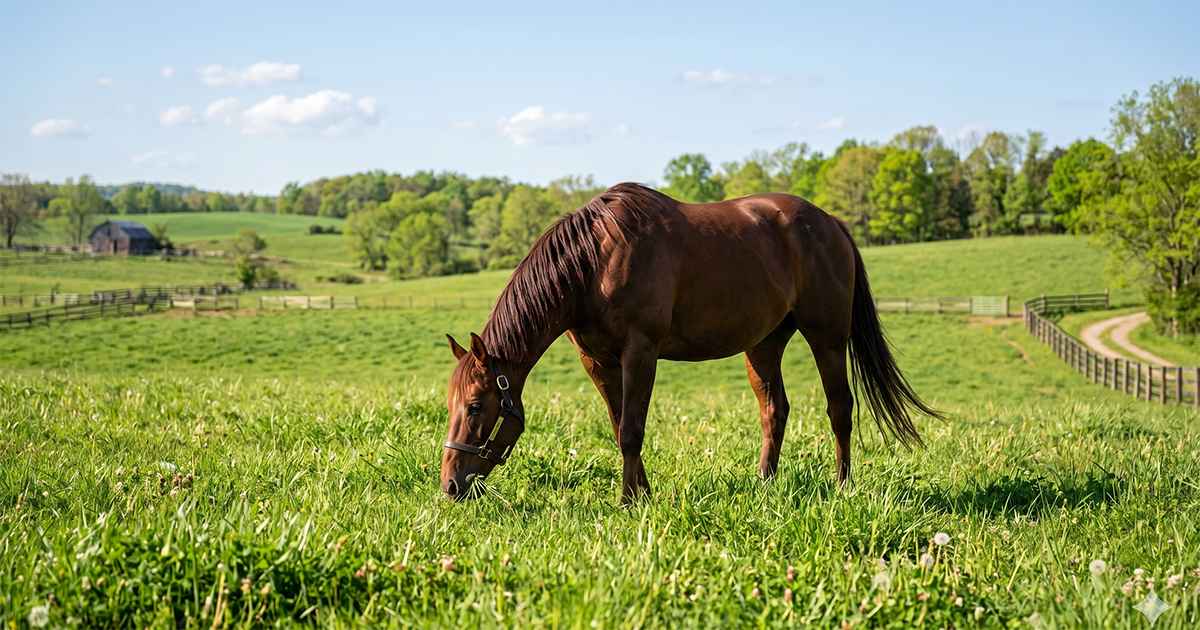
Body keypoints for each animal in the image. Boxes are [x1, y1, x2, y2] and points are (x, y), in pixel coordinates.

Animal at [442, 183, 941, 503]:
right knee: (774, 410)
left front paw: (627, 503)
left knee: (840, 409)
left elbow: (631, 430)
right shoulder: (597, 361)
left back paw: (843, 487)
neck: (595, 263)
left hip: (828, 337)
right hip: (763, 345)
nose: (450, 485)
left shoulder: (640, 352)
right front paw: (642, 495)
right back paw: (765, 486)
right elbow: (619, 426)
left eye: (475, 406)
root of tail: (830, 222)